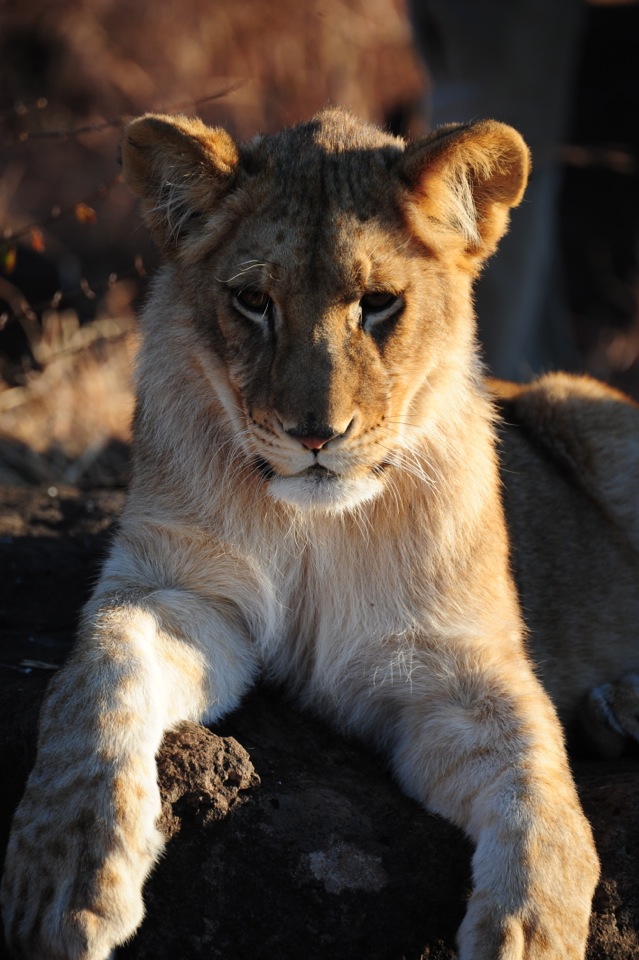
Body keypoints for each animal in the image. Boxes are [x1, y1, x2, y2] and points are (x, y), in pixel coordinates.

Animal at [2, 108, 639, 960]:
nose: (314, 435)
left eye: (378, 302)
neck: (316, 530)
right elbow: (95, 683)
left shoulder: (458, 664)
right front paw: (65, 871)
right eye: (251, 300)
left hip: (583, 409)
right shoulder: (177, 588)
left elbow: (541, 790)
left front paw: (529, 934)